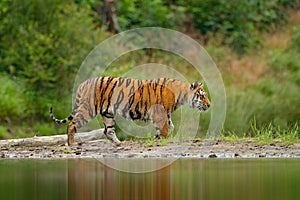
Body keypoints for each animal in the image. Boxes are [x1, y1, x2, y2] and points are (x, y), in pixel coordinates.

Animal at [49, 76, 210, 146]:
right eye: (202, 96)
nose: (209, 105)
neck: (181, 95)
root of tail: (83, 83)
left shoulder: (166, 114)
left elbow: (170, 126)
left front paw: (160, 137)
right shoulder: (160, 113)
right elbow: (165, 128)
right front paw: (162, 139)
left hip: (108, 113)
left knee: (108, 131)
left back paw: (119, 143)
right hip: (88, 109)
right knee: (72, 125)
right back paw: (71, 144)